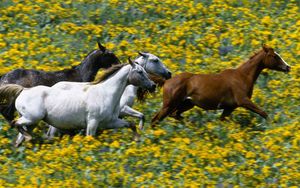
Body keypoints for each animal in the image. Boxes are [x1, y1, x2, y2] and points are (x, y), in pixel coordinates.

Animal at [0, 58, 155, 146]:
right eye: (140, 72)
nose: (153, 85)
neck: (105, 93)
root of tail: (23, 90)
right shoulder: (92, 122)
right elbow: (90, 138)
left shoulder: (110, 122)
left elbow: (131, 124)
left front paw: (137, 139)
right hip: (31, 118)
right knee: (15, 123)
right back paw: (29, 138)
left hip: (32, 122)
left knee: (19, 137)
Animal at [152, 44, 290, 125]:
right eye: (274, 56)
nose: (288, 67)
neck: (242, 76)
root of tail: (167, 81)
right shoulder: (243, 101)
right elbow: (263, 113)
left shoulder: (229, 107)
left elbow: (222, 120)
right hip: (169, 104)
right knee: (156, 119)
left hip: (186, 104)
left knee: (175, 115)